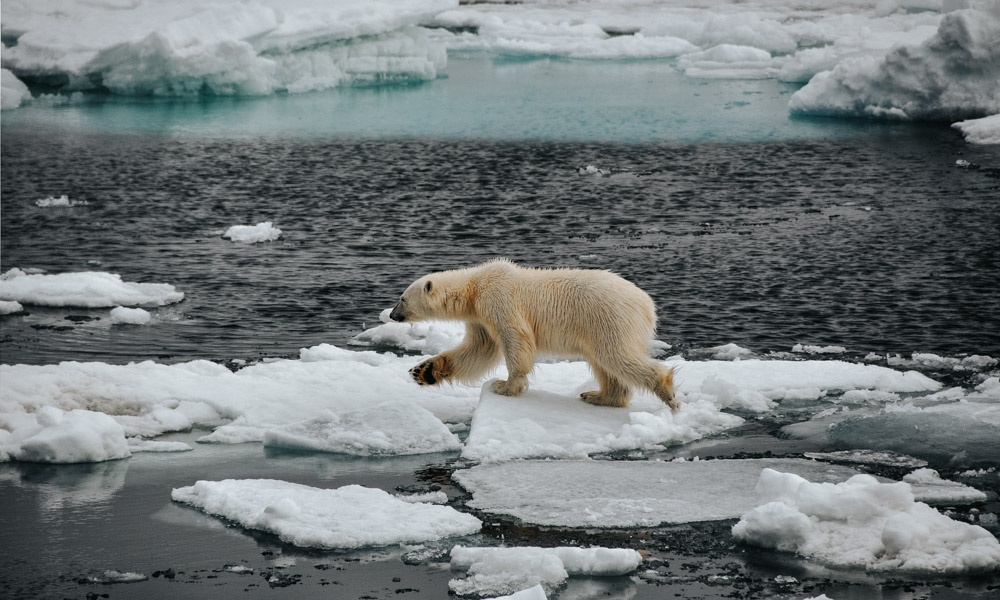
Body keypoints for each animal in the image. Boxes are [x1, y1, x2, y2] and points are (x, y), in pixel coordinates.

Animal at [386, 258, 676, 412]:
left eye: (402, 298)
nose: (391, 314)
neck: (474, 287)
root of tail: (647, 304)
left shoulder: (498, 299)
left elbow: (515, 338)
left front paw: (504, 386)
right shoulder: (479, 318)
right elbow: (478, 350)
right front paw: (424, 371)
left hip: (609, 318)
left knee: (616, 355)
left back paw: (667, 391)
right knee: (605, 363)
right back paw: (598, 395)